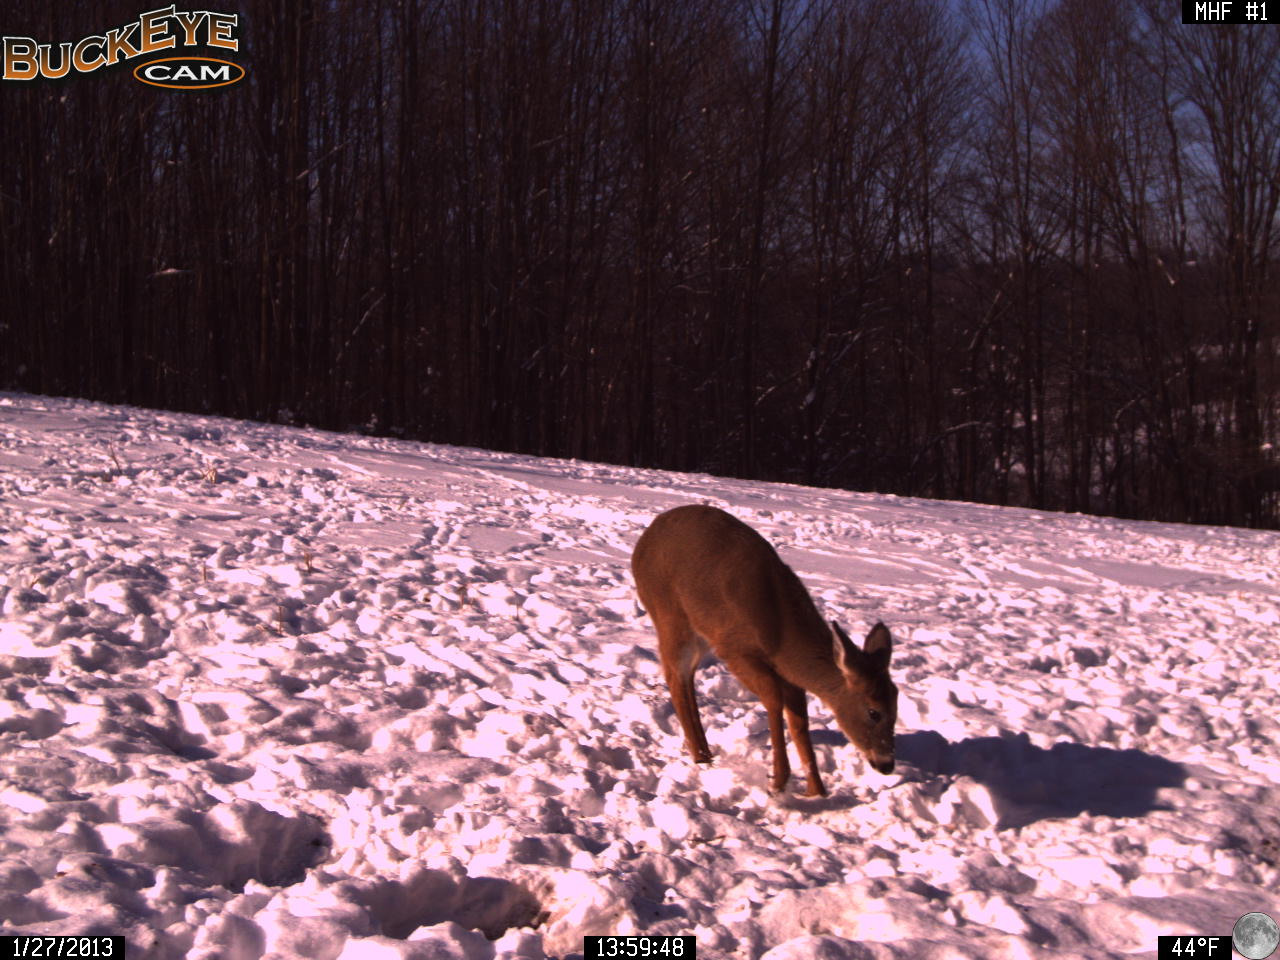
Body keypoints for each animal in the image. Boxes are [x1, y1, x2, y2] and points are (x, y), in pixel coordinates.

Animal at [632, 504, 901, 798]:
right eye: (874, 712)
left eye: (896, 707)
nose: (887, 764)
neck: (781, 637)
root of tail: (642, 543)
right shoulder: (735, 650)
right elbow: (773, 699)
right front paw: (778, 780)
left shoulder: (789, 675)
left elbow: (799, 721)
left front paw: (816, 790)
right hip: (669, 614)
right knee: (674, 675)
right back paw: (700, 756)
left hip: (698, 630)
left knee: (687, 677)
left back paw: (706, 752)